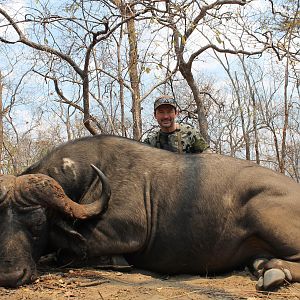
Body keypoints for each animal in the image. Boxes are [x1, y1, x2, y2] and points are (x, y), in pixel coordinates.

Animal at [0, 135, 298, 290]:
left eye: (38, 226)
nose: (9, 276)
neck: (88, 176)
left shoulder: (123, 233)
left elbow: (68, 248)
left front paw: (114, 262)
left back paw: (274, 271)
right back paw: (263, 266)